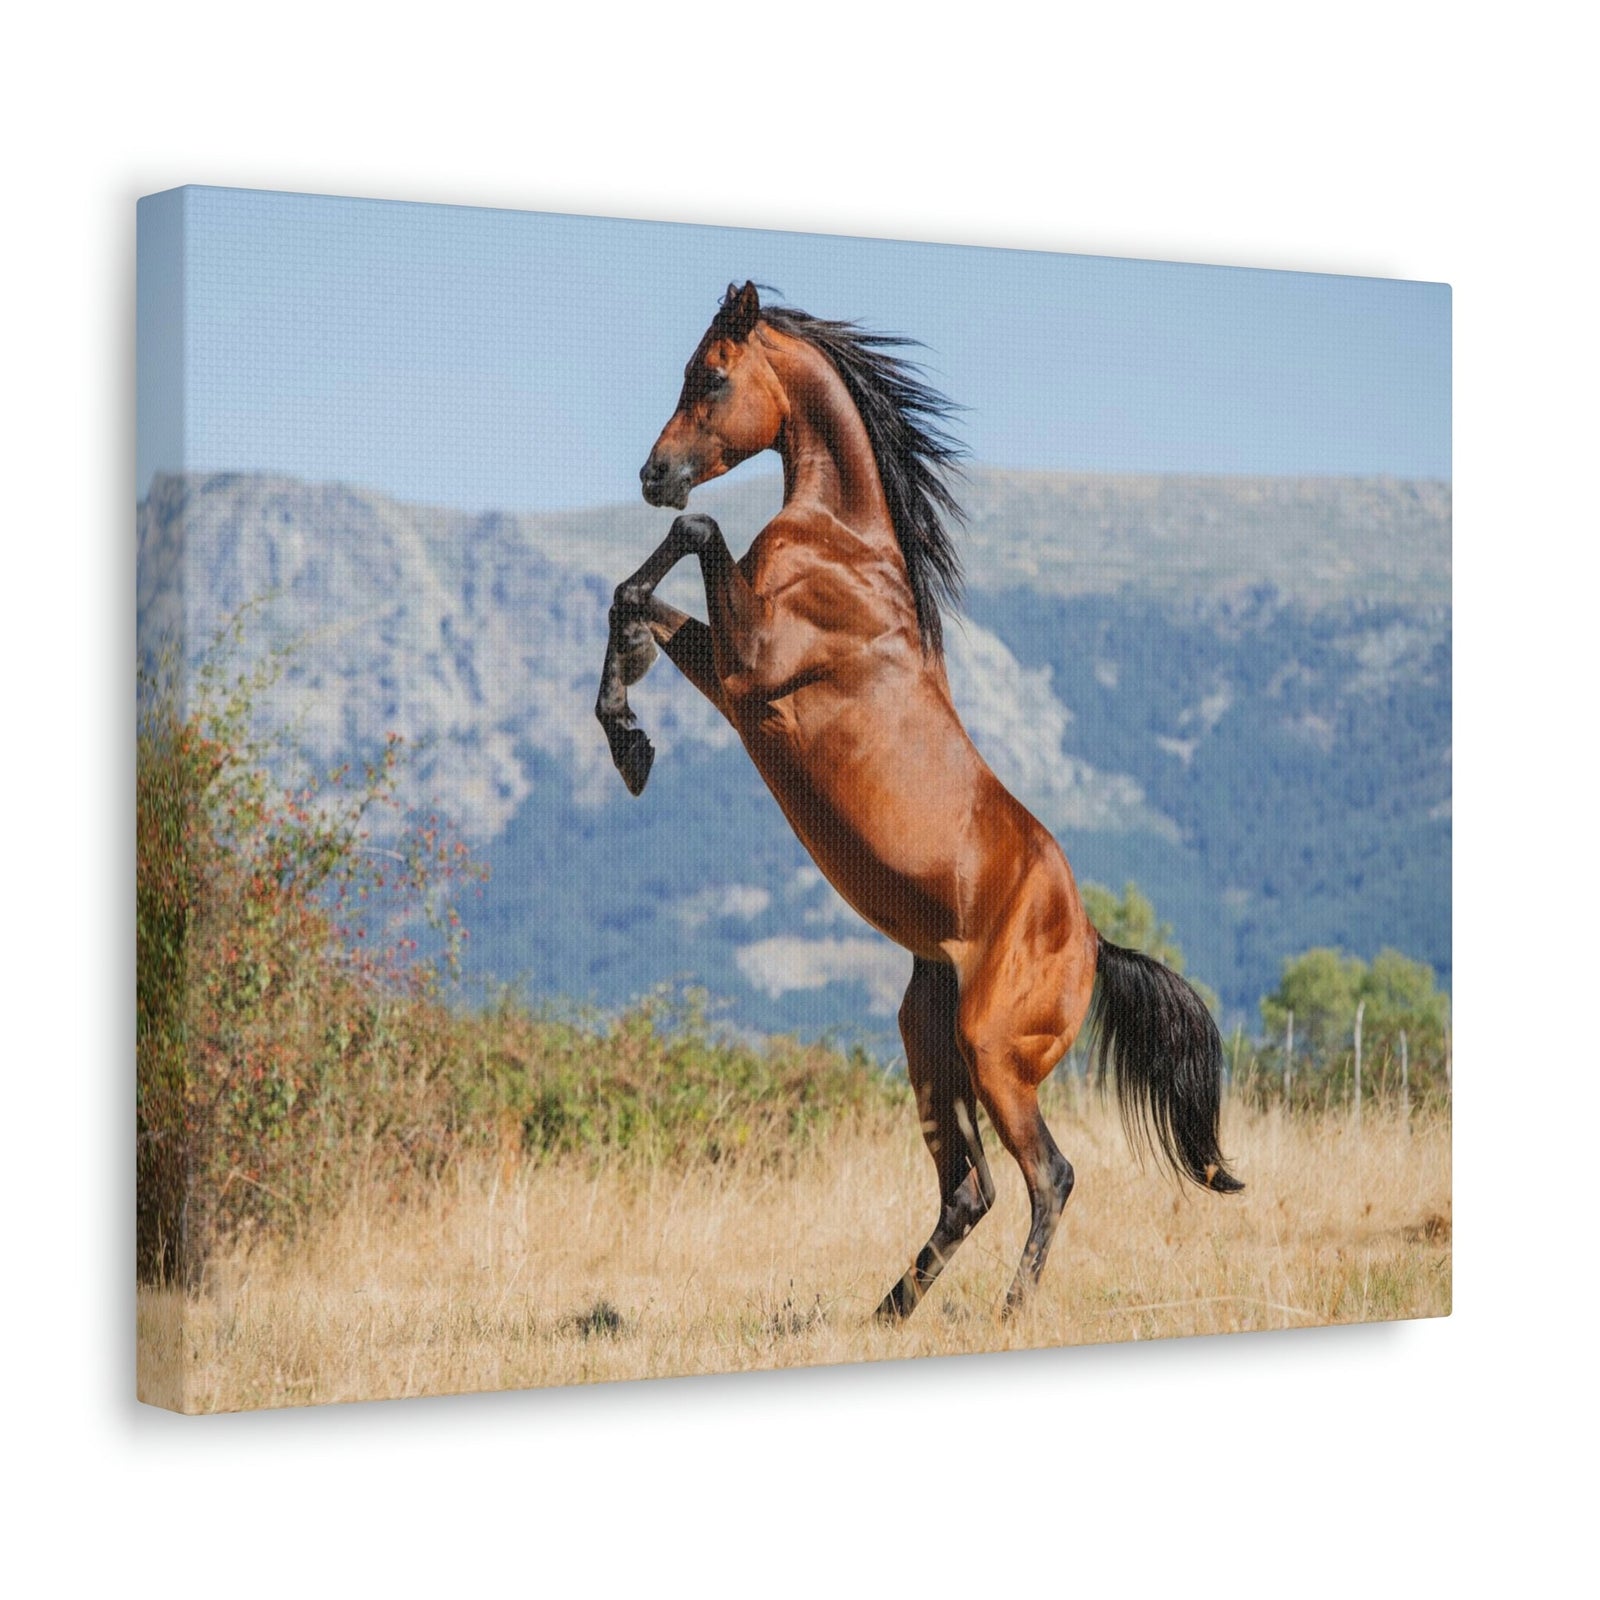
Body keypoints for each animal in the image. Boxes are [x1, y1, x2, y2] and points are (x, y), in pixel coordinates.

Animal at [597, 281, 1241, 1321]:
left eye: (713, 376)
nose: (655, 475)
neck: (841, 546)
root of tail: (1092, 942)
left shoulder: (755, 664)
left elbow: (693, 541)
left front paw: (628, 732)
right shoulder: (735, 680)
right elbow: (633, 602)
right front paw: (629, 742)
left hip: (993, 1052)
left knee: (1049, 1175)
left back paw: (1008, 1311)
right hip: (928, 1040)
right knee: (969, 1189)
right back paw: (889, 1311)